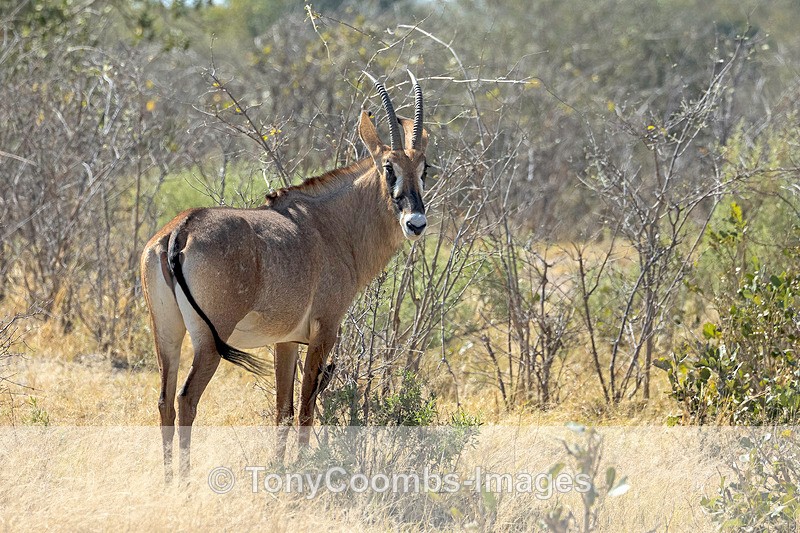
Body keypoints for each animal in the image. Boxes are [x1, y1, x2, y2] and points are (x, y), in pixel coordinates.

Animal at [140, 72, 429, 481]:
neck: (332, 226)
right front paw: (306, 470)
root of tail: (181, 229)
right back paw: (184, 480)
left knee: (165, 400)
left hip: (166, 330)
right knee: (186, 399)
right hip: (209, 340)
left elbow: (283, 411)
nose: (416, 223)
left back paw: (167, 481)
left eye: (424, 168)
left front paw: (278, 470)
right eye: (389, 167)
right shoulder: (324, 331)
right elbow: (306, 410)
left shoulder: (286, 340)